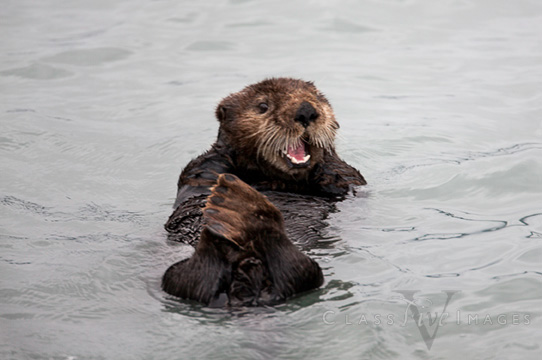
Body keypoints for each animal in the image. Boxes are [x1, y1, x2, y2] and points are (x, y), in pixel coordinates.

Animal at [160, 78, 366, 306]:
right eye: (263, 106)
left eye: (317, 98)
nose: (306, 111)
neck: (275, 180)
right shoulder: (200, 170)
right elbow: (199, 186)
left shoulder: (351, 180)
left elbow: (342, 175)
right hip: (176, 279)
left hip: (303, 274)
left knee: (298, 268)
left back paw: (246, 209)